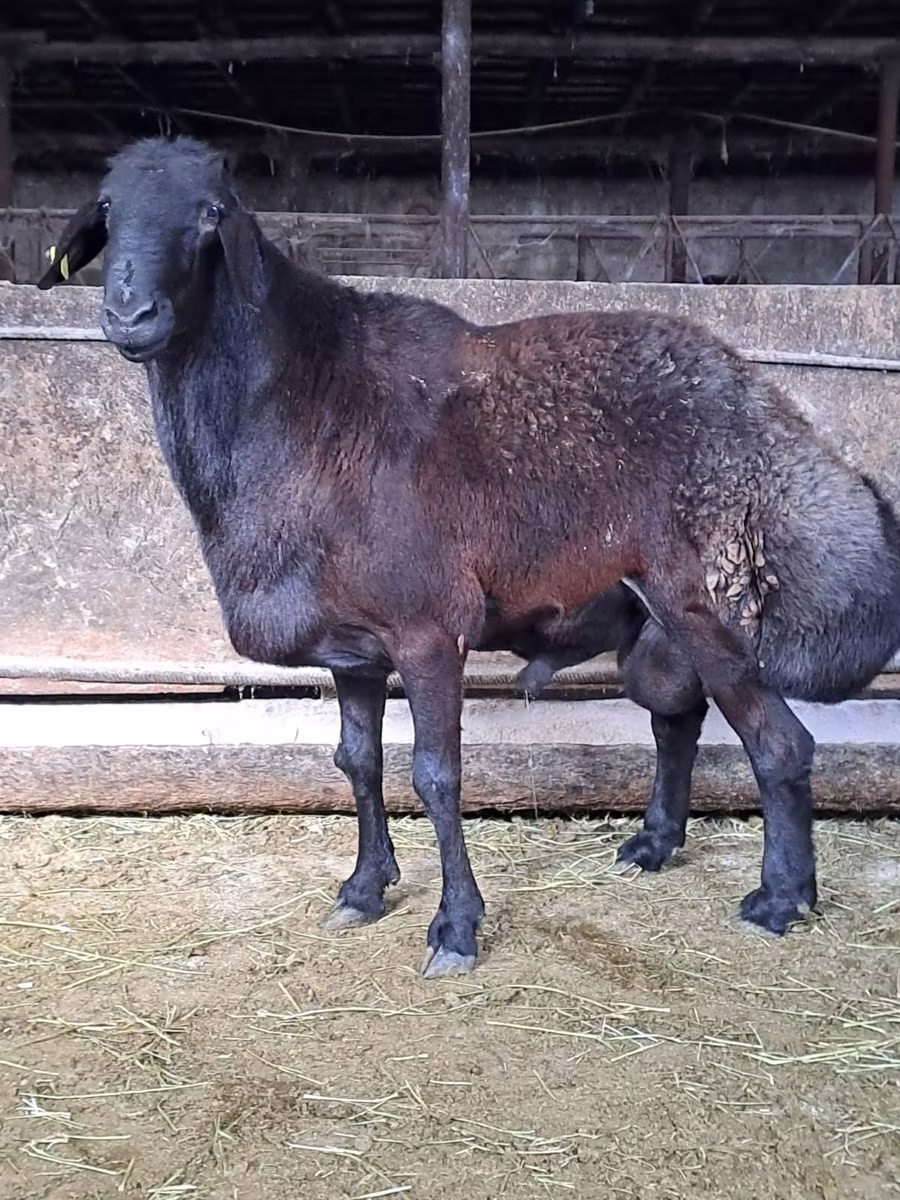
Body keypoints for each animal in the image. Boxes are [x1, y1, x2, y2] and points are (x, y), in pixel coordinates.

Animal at [38, 135, 900, 977]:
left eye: (210, 215)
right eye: (107, 211)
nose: (129, 313)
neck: (302, 403)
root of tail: (771, 409)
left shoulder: (427, 629)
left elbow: (435, 775)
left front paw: (455, 926)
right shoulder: (354, 652)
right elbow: (356, 762)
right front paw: (363, 889)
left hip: (710, 607)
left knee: (779, 744)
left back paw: (781, 899)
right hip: (652, 620)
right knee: (676, 716)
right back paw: (656, 843)